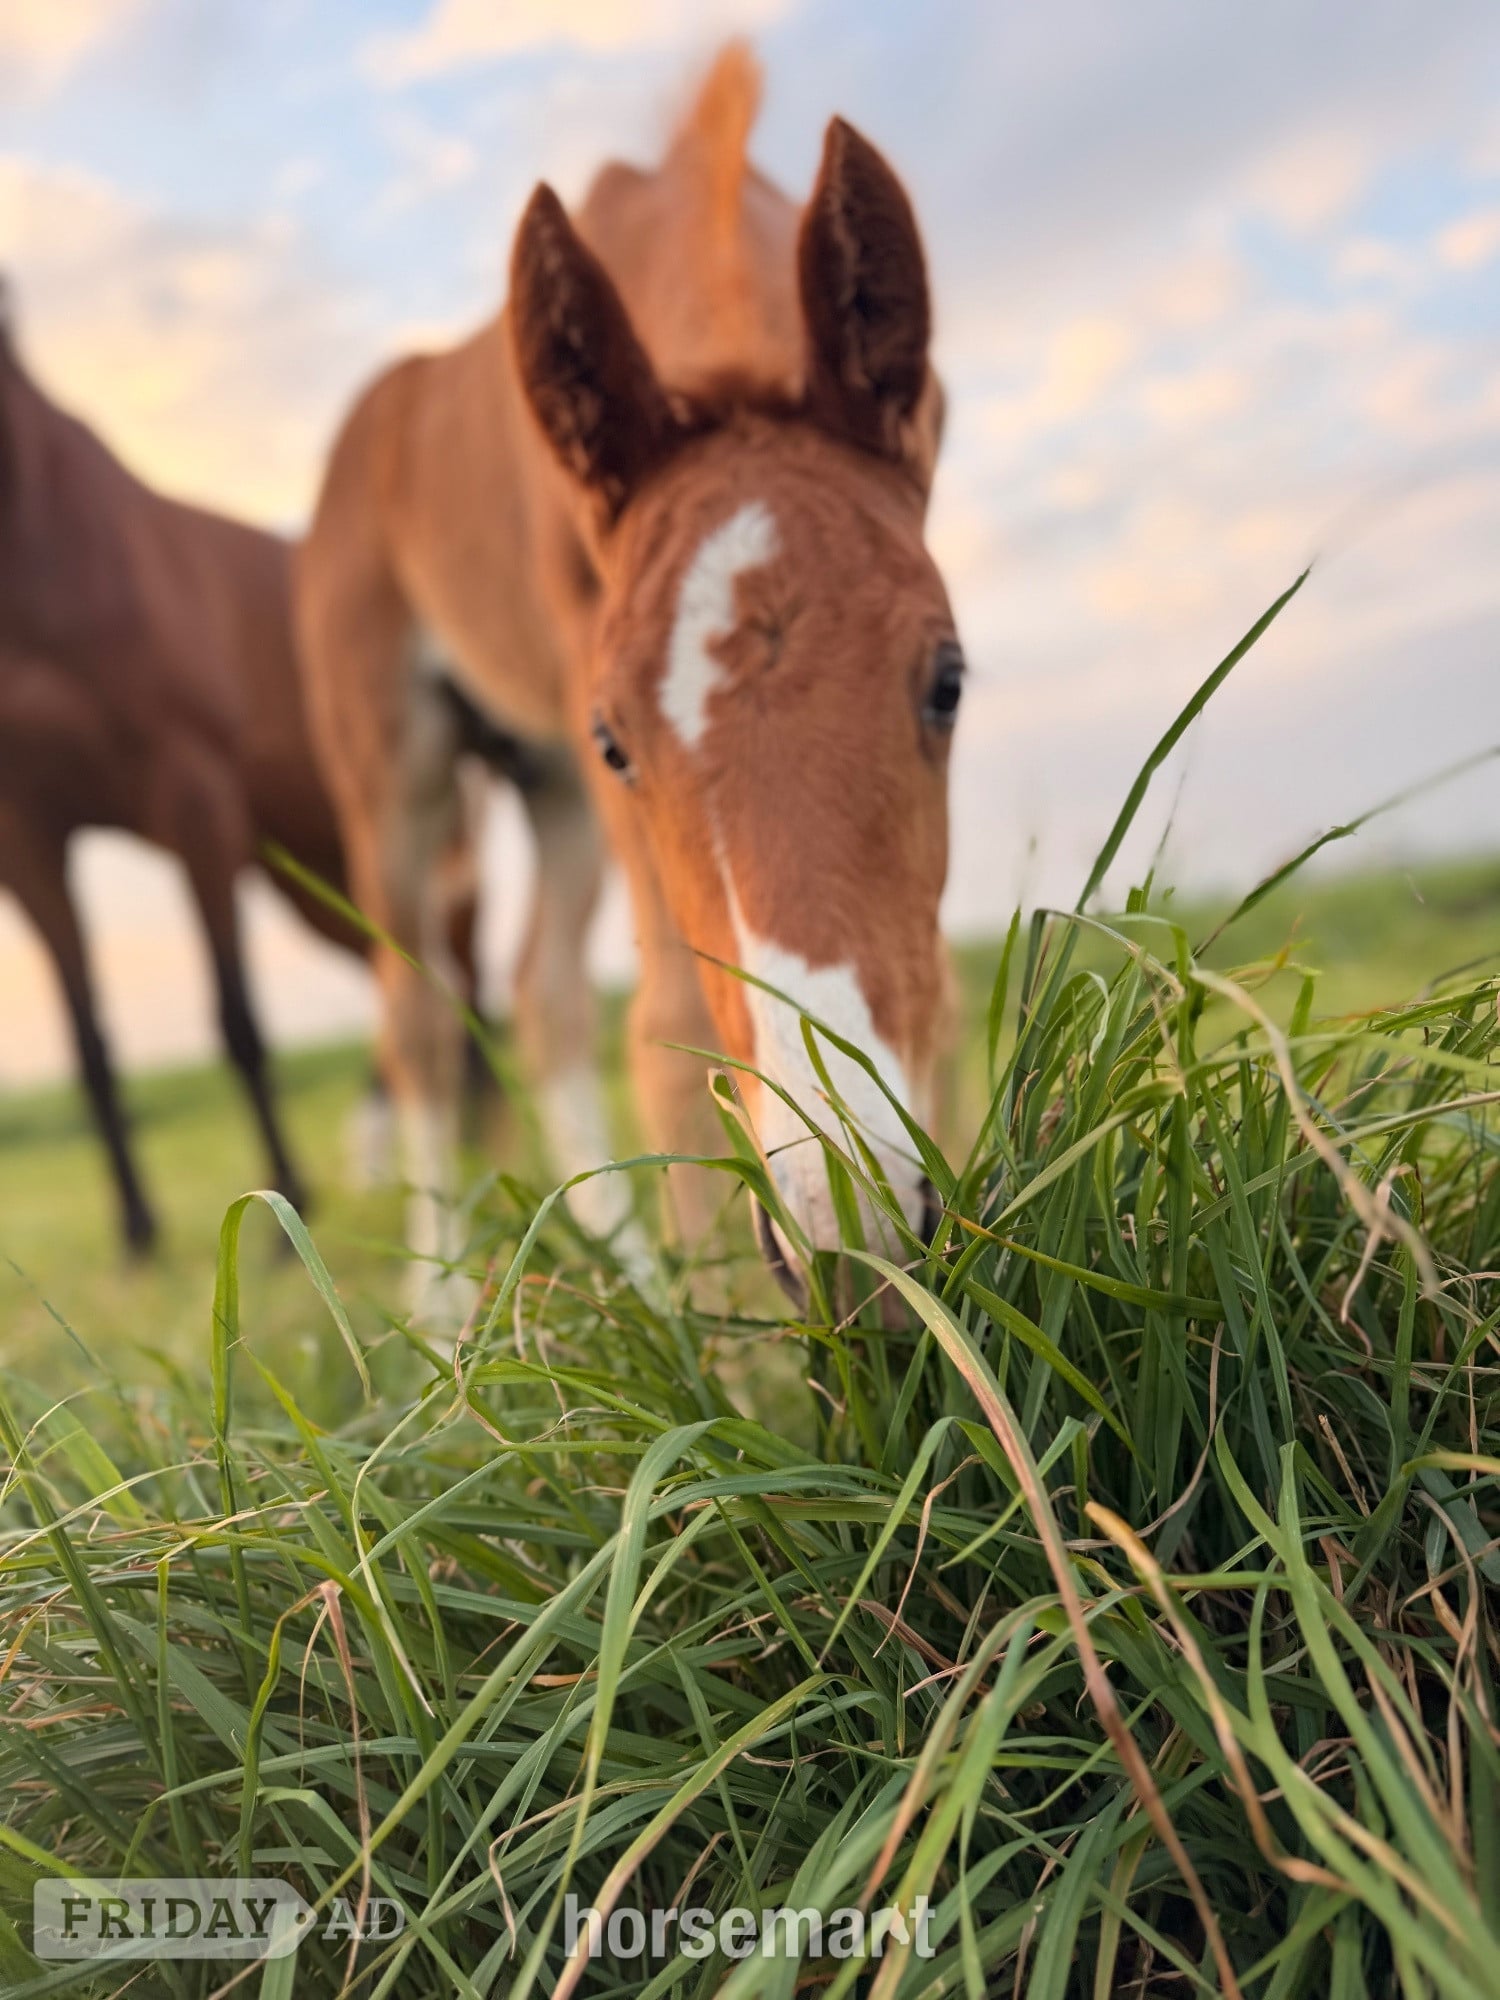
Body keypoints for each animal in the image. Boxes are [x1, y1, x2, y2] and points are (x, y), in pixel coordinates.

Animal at [0, 291, 393, 1252]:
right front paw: (137, 1230)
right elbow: (89, 1047)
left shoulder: (195, 798)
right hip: (308, 876)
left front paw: (286, 1209)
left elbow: (239, 1022)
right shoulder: (27, 838)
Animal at [297, 45, 960, 1315]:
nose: (848, 1237)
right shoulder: (580, 693)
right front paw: (735, 1335)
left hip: (543, 784)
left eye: (948, 681)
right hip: (396, 774)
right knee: (421, 1015)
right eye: (619, 737)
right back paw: (445, 1315)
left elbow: (929, 967)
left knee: (541, 993)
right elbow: (664, 1017)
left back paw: (633, 1277)